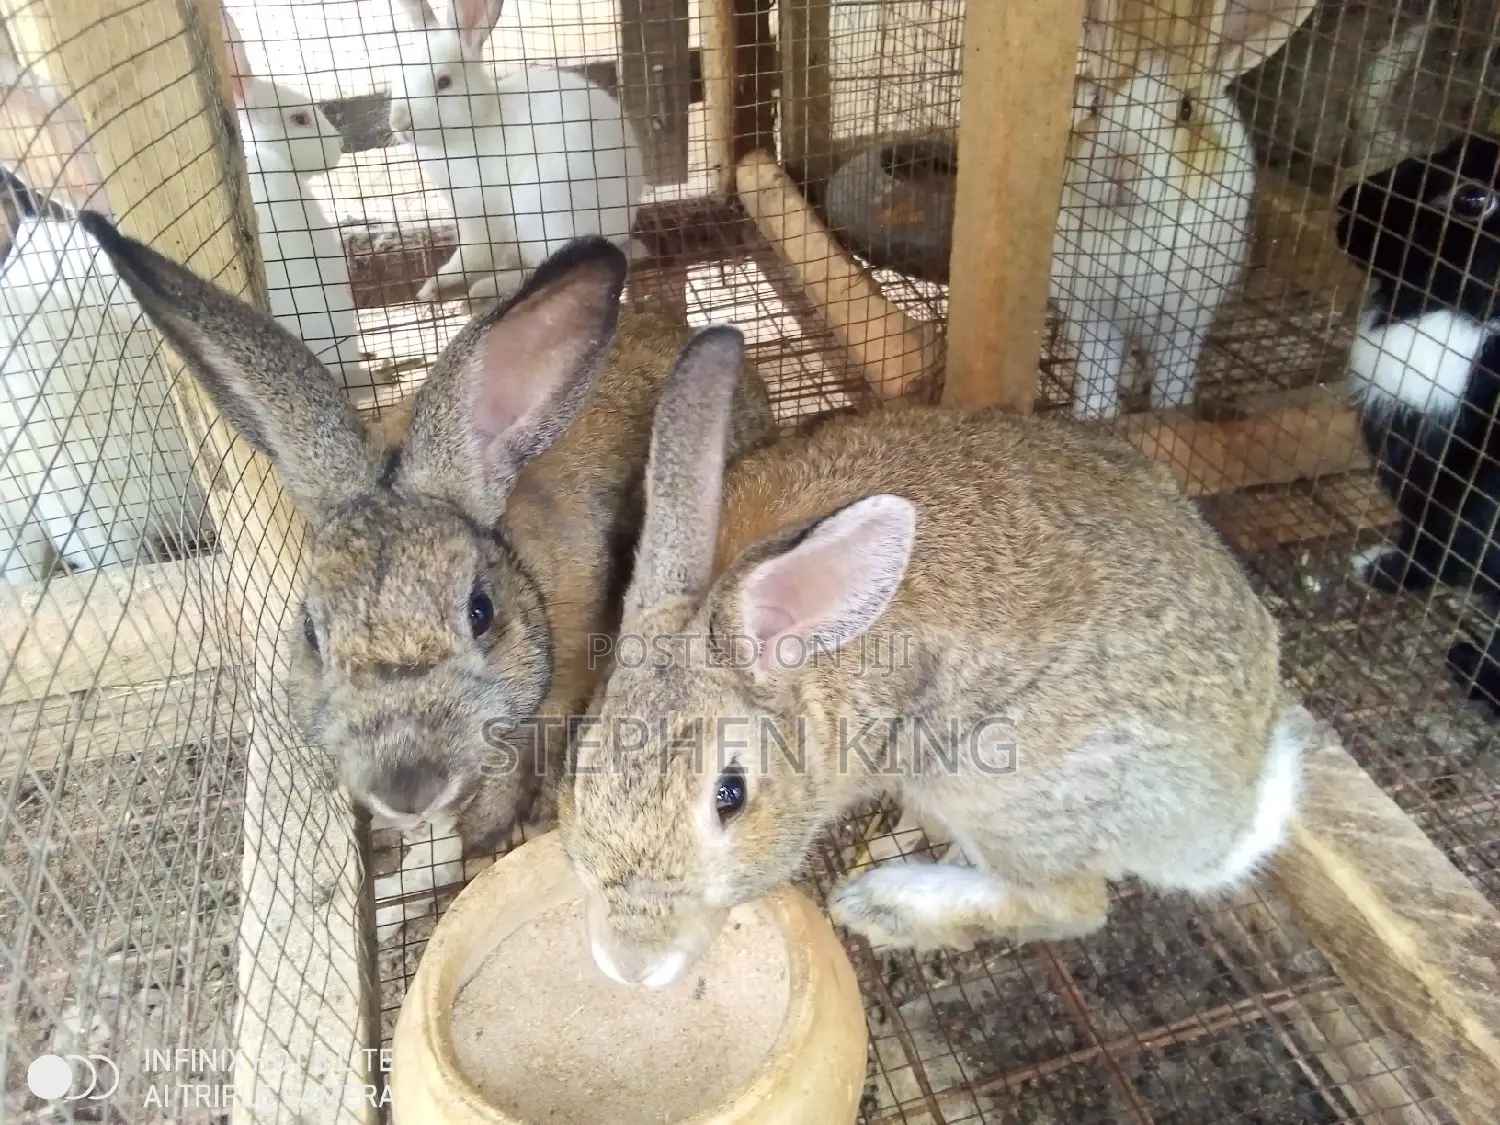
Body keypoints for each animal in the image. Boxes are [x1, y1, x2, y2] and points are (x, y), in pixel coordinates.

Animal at [386, 0, 649, 306]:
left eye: (444, 82)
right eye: (397, 77)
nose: (399, 123)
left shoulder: (481, 216)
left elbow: (472, 256)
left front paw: (438, 285)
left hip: (541, 206)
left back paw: (485, 290)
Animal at [559, 323, 1316, 987]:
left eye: (730, 795)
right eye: (580, 763)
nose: (631, 965)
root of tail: (1233, 817)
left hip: (993, 785)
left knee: (1073, 903)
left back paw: (885, 902)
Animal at [1053, 0, 1316, 421]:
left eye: (1187, 109)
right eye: (1096, 105)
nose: (1121, 170)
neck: (1134, 225)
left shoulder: (1185, 317)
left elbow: (1173, 370)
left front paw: (1171, 412)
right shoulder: (1091, 310)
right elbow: (1098, 368)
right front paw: (1094, 416)